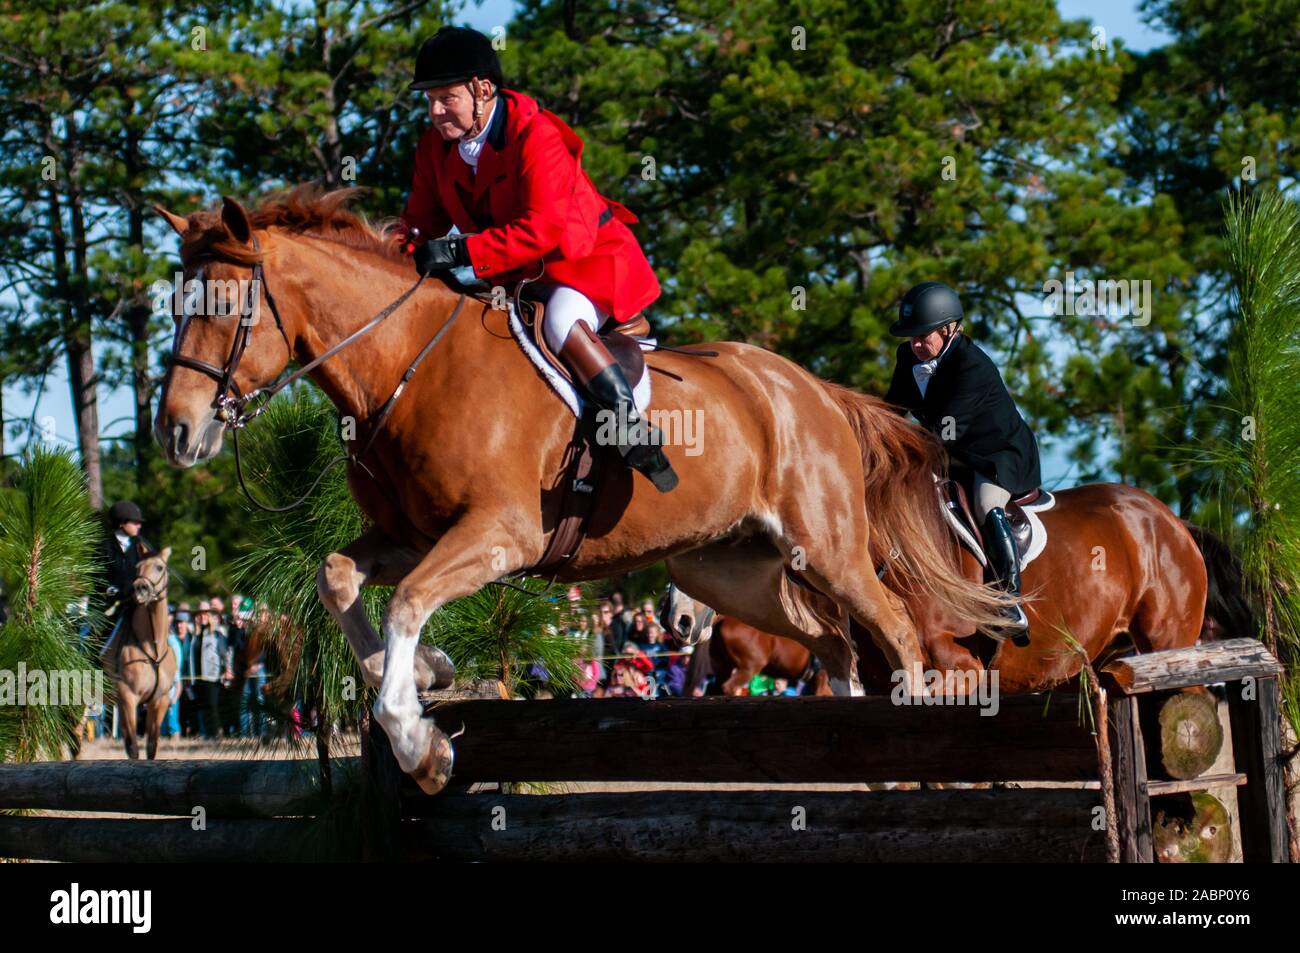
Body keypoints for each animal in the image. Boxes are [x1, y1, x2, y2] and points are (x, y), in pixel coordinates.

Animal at [102, 551, 179, 759]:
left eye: (159, 567)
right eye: (138, 568)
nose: (141, 589)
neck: (152, 646)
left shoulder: (160, 700)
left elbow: (152, 746)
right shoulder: (127, 698)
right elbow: (133, 748)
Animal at [147, 184, 1008, 790]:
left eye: (226, 307)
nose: (176, 432)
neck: (405, 366)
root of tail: (815, 390)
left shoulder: (496, 534)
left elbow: (407, 602)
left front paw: (421, 744)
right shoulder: (409, 536)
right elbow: (336, 577)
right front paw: (429, 672)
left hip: (825, 547)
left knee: (894, 627)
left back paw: (911, 755)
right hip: (731, 570)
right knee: (832, 640)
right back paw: (864, 762)